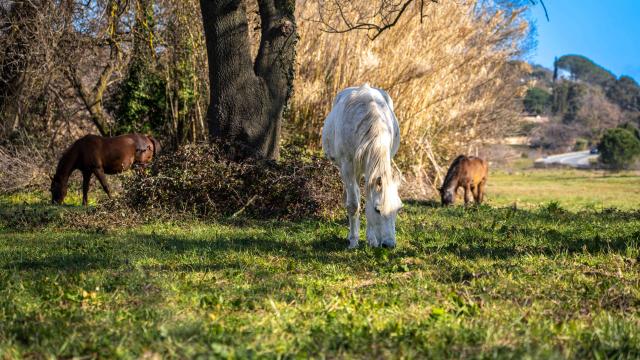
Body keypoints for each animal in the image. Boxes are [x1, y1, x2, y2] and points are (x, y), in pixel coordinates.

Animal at [322, 84, 402, 249]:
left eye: (398, 209)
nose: (389, 244)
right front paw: (353, 241)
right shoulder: (347, 166)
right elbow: (353, 205)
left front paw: (371, 239)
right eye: (378, 210)